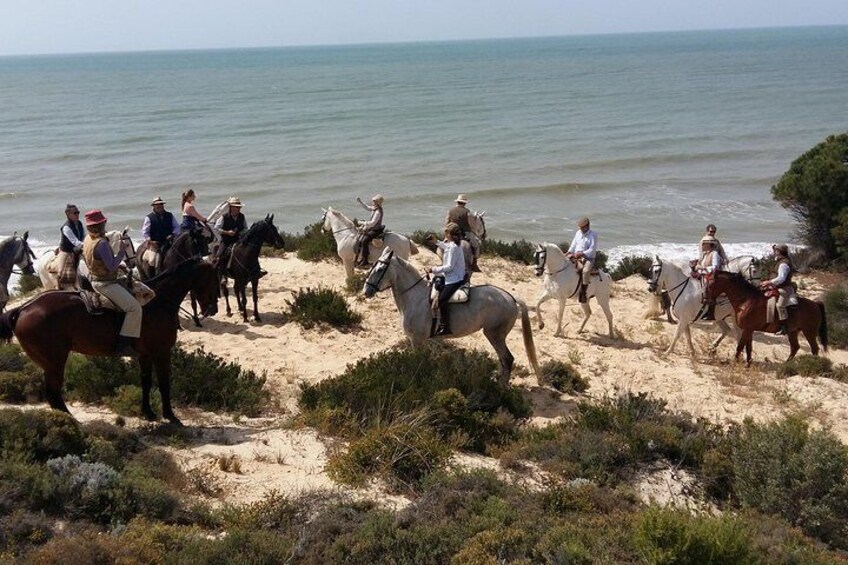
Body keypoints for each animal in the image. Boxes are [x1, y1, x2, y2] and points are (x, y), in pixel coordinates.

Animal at [0, 256, 219, 424]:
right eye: (212, 279)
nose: (212, 309)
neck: (157, 302)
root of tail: (23, 308)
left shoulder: (145, 355)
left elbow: (146, 382)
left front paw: (148, 413)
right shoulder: (162, 352)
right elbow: (165, 384)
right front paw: (171, 416)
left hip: (49, 364)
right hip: (55, 362)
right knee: (54, 394)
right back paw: (70, 424)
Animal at [362, 247, 536, 384]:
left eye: (380, 269)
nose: (366, 291)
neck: (415, 297)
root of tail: (511, 298)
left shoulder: (416, 340)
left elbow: (417, 362)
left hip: (494, 335)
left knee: (507, 359)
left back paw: (502, 388)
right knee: (503, 360)